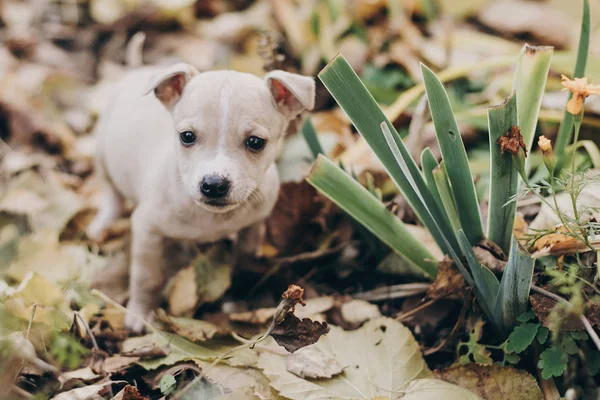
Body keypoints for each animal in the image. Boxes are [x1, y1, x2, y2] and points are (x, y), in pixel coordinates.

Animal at [86, 63, 316, 332]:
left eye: (255, 142)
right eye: (186, 136)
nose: (214, 185)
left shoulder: (252, 226)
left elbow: (244, 262)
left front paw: (236, 298)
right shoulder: (146, 231)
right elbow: (147, 279)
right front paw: (140, 313)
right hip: (102, 153)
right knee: (111, 193)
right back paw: (103, 223)